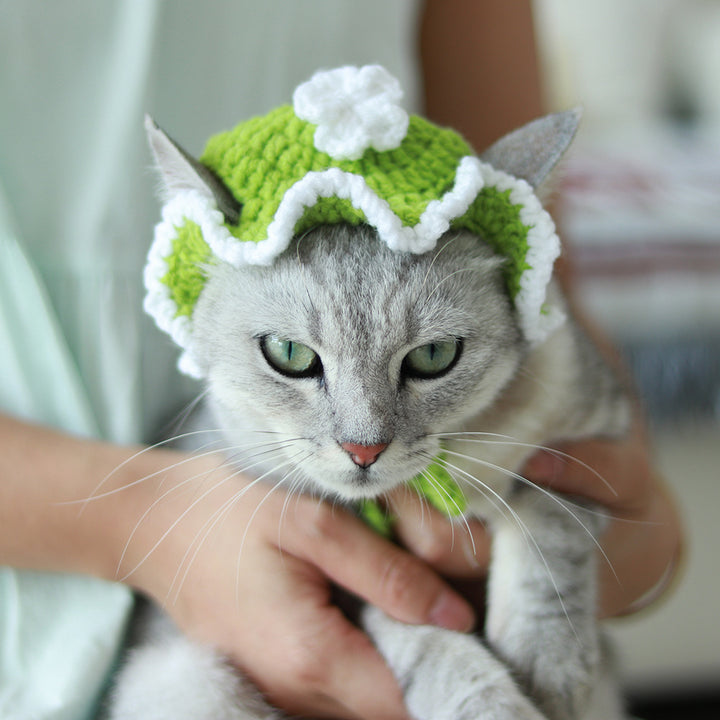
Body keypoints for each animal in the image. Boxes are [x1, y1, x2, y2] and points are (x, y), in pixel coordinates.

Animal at [108, 83, 632, 716]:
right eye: (289, 353)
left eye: (433, 356)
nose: (363, 450)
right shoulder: (350, 589)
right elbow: (432, 645)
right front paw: (493, 703)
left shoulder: (596, 447)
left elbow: (550, 520)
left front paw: (548, 658)